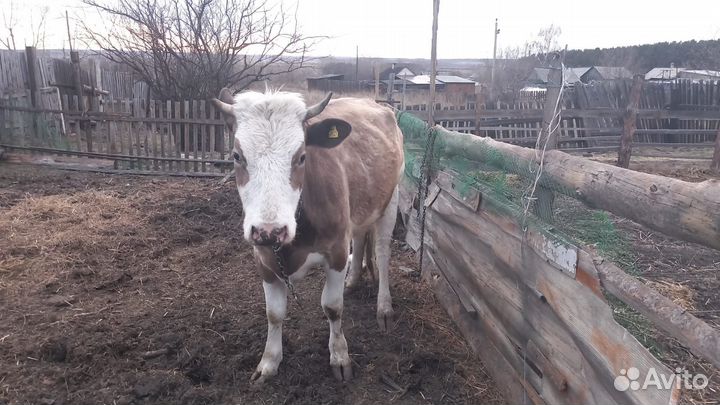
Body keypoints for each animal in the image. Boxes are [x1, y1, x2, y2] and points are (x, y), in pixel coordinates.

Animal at [211, 88, 404, 383]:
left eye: (302, 156)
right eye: (236, 156)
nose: (270, 230)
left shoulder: (336, 251)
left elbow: (332, 307)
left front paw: (339, 356)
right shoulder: (263, 258)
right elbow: (274, 313)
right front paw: (269, 362)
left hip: (391, 199)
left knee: (382, 253)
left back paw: (384, 308)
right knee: (360, 238)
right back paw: (353, 280)